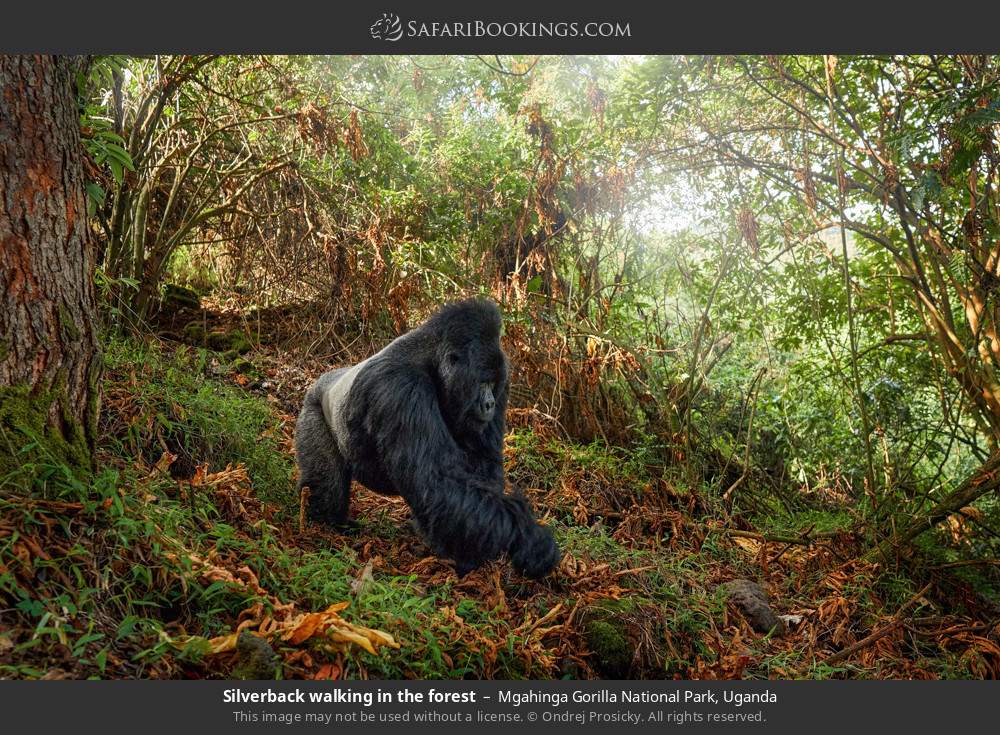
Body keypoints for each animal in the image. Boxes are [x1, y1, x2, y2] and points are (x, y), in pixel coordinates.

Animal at [296, 300, 564, 580]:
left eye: (493, 384)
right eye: (482, 383)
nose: (489, 404)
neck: (432, 360)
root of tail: (326, 377)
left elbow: (479, 469)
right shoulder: (401, 387)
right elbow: (436, 482)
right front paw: (528, 538)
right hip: (313, 407)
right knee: (328, 487)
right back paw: (324, 523)